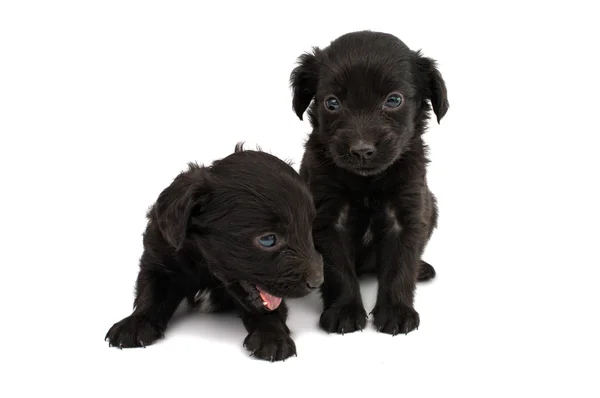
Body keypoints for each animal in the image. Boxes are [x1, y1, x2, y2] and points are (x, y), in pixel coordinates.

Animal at [105, 145, 326, 362]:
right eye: (268, 239)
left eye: (309, 229)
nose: (317, 281)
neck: (206, 266)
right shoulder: (159, 256)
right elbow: (151, 292)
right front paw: (135, 323)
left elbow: (270, 311)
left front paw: (272, 337)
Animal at [288, 30, 448, 336]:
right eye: (332, 103)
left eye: (394, 100)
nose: (362, 150)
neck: (367, 183)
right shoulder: (328, 219)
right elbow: (338, 269)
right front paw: (345, 311)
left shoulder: (407, 214)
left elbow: (400, 266)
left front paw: (397, 311)